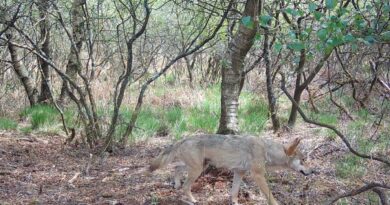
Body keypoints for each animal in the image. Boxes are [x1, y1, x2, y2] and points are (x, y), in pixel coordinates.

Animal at [148, 135, 312, 205]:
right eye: (304, 160)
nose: (312, 172)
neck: (267, 151)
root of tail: (184, 138)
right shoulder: (258, 175)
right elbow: (270, 196)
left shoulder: (239, 173)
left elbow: (234, 193)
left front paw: (235, 203)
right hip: (197, 170)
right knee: (186, 186)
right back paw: (192, 200)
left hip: (199, 167)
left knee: (176, 168)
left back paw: (176, 184)